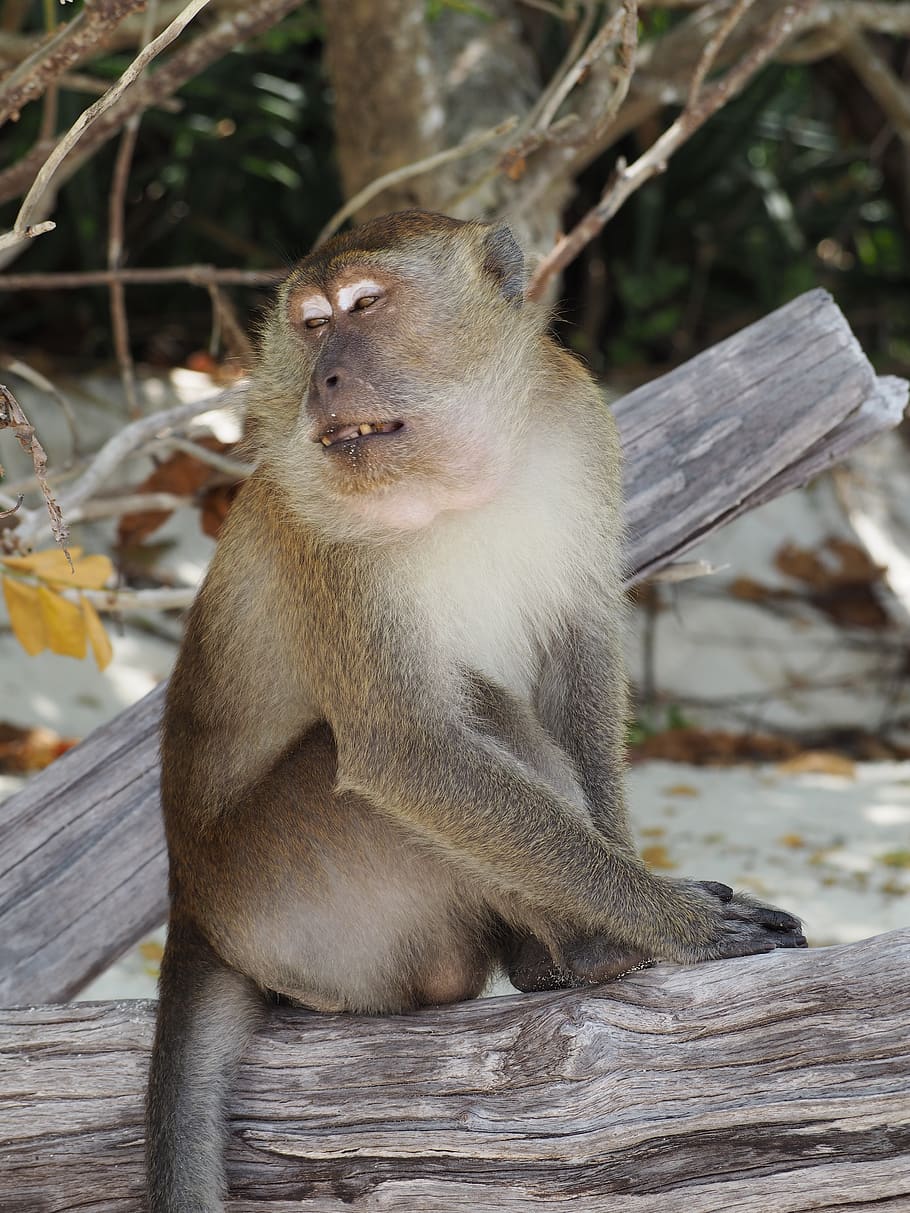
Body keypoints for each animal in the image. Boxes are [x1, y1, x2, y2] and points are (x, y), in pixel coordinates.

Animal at [146, 209, 806, 1211]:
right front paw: (668, 924)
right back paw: (587, 950)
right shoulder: (318, 523)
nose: (326, 374)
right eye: (311, 324)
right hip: (303, 896)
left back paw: (552, 958)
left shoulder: (579, 425)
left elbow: (578, 657)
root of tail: (195, 904)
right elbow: (407, 751)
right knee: (464, 721)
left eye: (364, 307)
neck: (447, 476)